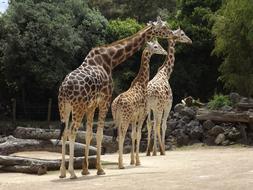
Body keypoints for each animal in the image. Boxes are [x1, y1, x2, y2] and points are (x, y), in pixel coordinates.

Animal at [111, 39, 167, 168]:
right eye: (155, 46)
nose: (165, 52)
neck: (142, 84)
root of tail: (117, 104)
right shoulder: (142, 115)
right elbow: (139, 135)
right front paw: (138, 161)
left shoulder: (134, 118)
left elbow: (133, 135)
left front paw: (133, 161)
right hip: (125, 118)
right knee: (121, 136)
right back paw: (121, 165)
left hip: (117, 118)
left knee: (118, 136)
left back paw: (120, 162)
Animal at [146, 27, 192, 156]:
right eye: (182, 34)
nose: (190, 41)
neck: (166, 73)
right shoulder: (168, 105)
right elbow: (164, 125)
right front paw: (161, 149)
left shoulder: (154, 108)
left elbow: (154, 124)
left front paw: (154, 149)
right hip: (157, 107)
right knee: (156, 124)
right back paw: (157, 151)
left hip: (148, 108)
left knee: (149, 124)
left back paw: (149, 151)